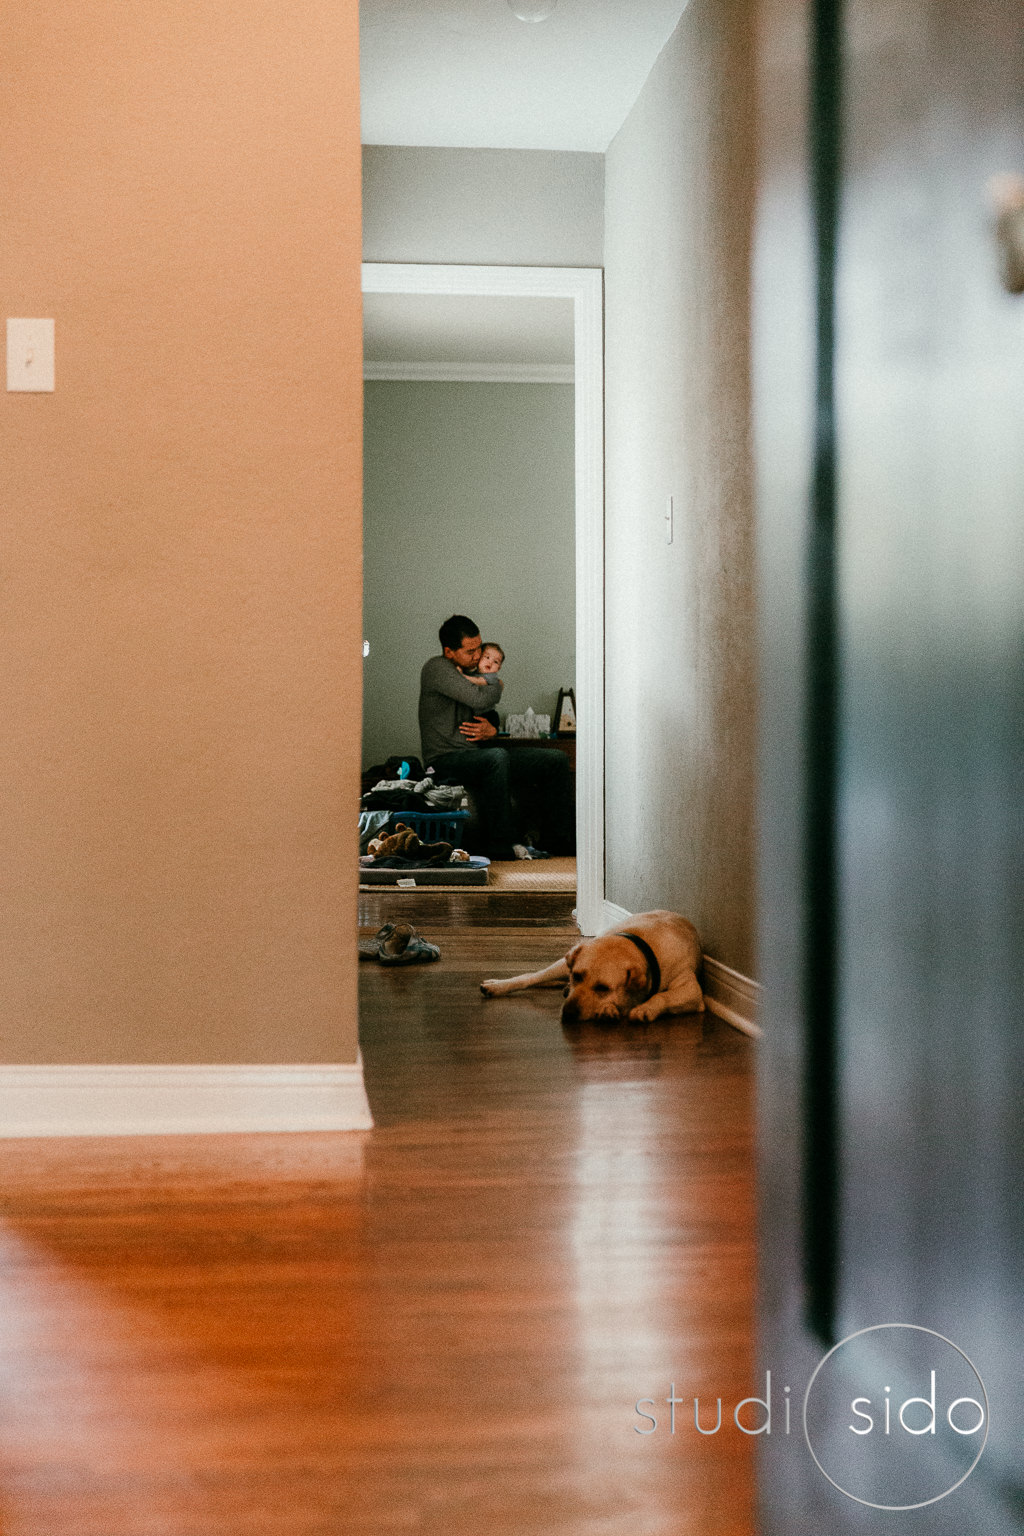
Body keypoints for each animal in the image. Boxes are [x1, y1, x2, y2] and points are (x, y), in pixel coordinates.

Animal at [482, 903, 706, 1026]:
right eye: (577, 976)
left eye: (603, 988)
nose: (568, 1013)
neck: (641, 943)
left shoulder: (692, 990)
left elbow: (662, 996)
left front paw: (645, 1008)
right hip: (560, 964)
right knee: (531, 977)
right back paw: (497, 985)